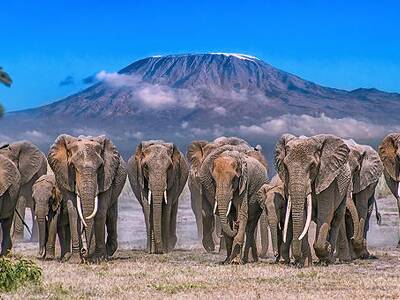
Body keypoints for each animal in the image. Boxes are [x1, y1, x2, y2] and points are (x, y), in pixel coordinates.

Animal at [276, 135, 352, 266]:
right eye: (285, 166)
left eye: (312, 166)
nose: (297, 260)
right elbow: (303, 216)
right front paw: (306, 264)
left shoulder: (327, 178)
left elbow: (326, 212)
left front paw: (325, 250)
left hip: (345, 188)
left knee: (337, 218)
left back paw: (329, 259)